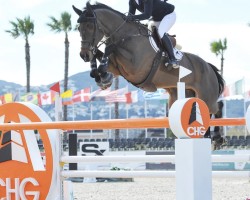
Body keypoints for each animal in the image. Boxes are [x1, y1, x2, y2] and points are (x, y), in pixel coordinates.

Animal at [72, 2, 225, 119]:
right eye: (78, 28)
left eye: (90, 26)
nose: (84, 55)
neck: (126, 35)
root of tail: (209, 67)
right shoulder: (116, 67)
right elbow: (102, 57)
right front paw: (101, 76)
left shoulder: (134, 66)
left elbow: (110, 48)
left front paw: (103, 76)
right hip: (180, 95)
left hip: (207, 98)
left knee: (215, 109)